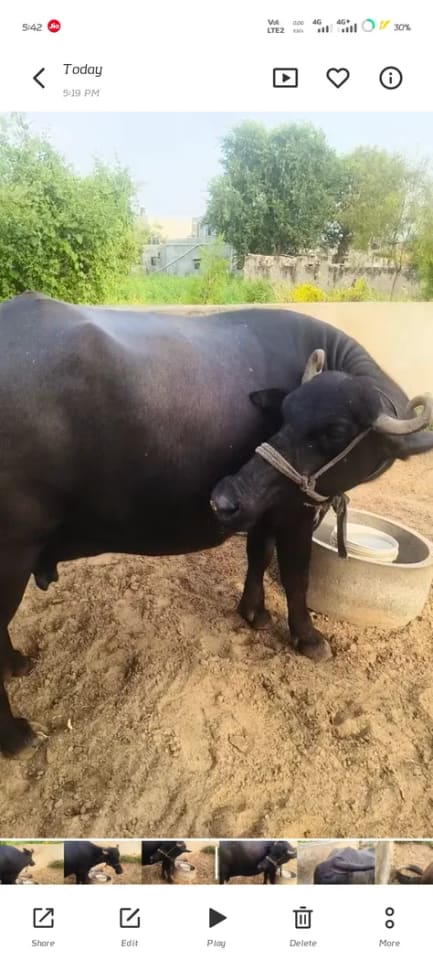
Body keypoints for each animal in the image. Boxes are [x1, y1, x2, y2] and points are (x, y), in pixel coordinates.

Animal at [1, 293, 432, 755]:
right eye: (286, 413)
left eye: (335, 430)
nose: (222, 498)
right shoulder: (294, 511)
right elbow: (296, 575)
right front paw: (309, 638)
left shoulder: (262, 507)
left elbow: (258, 554)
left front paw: (253, 611)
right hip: (12, 553)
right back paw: (16, 736)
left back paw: (15, 662)